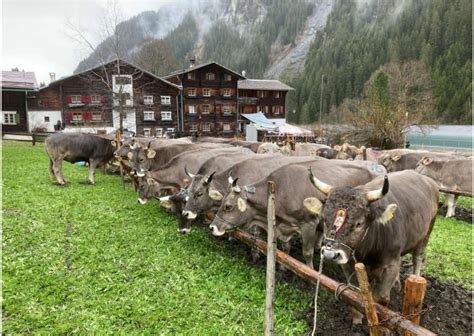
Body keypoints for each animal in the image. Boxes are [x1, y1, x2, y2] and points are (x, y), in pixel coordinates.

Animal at [306, 171, 438, 326]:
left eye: (359, 223)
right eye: (325, 219)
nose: (329, 254)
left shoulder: (390, 264)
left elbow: (381, 298)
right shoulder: (349, 263)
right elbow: (354, 293)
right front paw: (357, 319)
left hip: (426, 234)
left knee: (418, 258)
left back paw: (415, 277)